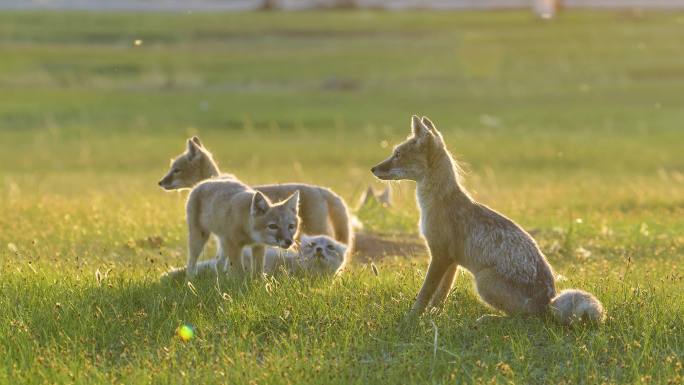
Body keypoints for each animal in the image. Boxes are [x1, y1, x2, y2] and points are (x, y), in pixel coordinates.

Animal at [374, 115, 604, 324]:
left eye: (397, 154)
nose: (373, 169)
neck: (439, 201)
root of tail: (548, 303)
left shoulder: (439, 256)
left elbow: (425, 293)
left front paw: (412, 318)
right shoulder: (451, 261)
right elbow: (441, 295)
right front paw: (434, 316)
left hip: (483, 282)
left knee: (524, 320)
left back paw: (489, 319)